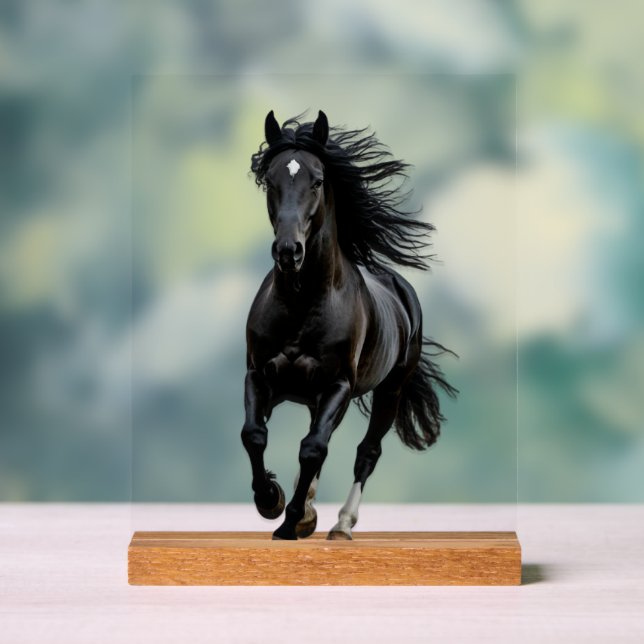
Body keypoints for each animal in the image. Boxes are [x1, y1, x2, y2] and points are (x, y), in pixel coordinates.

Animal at [241, 110, 456, 540]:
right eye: (270, 180)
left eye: (317, 180)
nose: (288, 251)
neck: (301, 305)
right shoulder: (259, 375)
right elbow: (254, 434)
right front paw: (271, 500)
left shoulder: (338, 384)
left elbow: (313, 449)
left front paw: (288, 522)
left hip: (390, 391)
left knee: (365, 452)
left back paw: (340, 526)